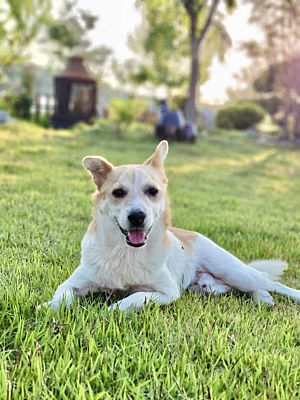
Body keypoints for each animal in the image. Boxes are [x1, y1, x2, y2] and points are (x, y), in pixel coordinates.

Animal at [44, 141, 300, 312]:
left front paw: (109, 311)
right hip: (214, 283)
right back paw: (260, 297)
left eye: (152, 191)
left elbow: (133, 298)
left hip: (233, 270)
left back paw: (274, 295)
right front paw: (47, 307)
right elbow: (62, 296)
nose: (137, 217)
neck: (125, 252)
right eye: (118, 193)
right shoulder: (73, 283)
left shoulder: (166, 292)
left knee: (270, 283)